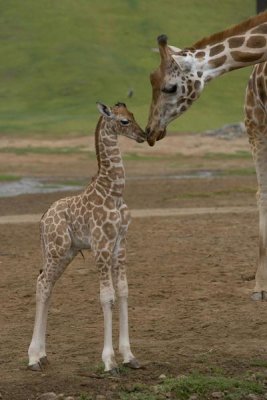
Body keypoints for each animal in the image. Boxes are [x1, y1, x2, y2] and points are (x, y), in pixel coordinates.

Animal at [27, 101, 147, 374]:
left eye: (133, 115)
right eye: (124, 121)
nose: (143, 135)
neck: (114, 192)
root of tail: (43, 218)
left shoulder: (120, 244)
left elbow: (123, 291)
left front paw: (129, 356)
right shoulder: (101, 245)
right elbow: (107, 297)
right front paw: (109, 361)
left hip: (66, 253)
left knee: (46, 284)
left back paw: (42, 355)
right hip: (56, 249)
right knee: (42, 283)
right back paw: (32, 358)